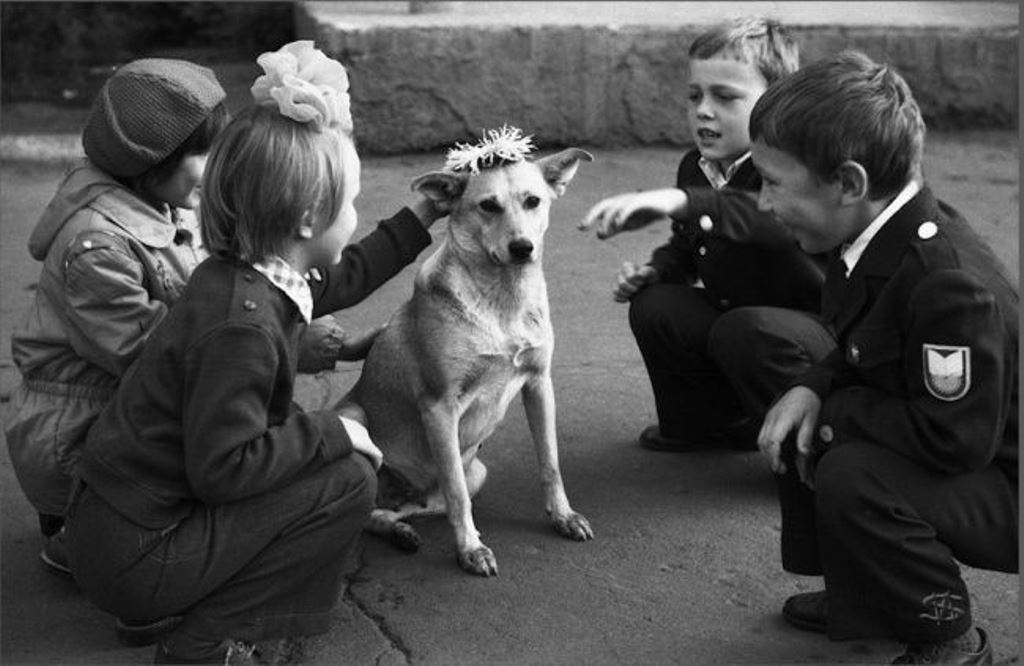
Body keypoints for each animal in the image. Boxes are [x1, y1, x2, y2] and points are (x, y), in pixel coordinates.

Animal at [335, 132, 593, 573]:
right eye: (488, 205)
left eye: (533, 201)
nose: (522, 247)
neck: (503, 300)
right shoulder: (439, 406)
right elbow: (456, 493)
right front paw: (471, 549)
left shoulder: (539, 385)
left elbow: (550, 463)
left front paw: (563, 516)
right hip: (354, 418)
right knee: (375, 508)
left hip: (477, 474)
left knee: (399, 508)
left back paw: (400, 530)